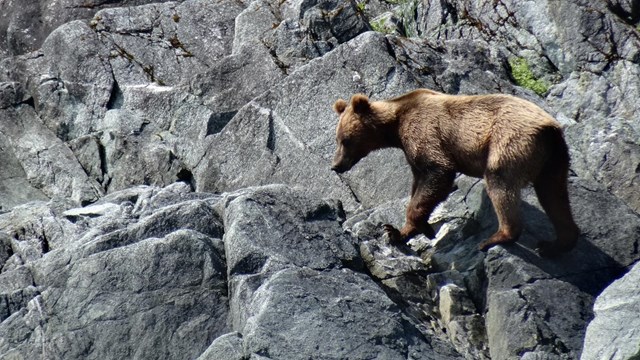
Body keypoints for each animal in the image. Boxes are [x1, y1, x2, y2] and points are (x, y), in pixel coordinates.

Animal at [330, 89, 580, 256]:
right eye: (338, 139)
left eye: (346, 139)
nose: (335, 165)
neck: (395, 125)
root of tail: (549, 128)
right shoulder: (413, 156)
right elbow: (419, 185)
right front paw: (397, 231)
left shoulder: (424, 132)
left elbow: (438, 173)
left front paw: (419, 227)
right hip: (554, 159)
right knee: (554, 196)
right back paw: (556, 243)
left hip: (509, 140)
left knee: (500, 183)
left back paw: (495, 238)